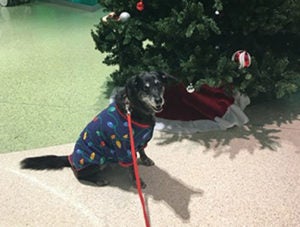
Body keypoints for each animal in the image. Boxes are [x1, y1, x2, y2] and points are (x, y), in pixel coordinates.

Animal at [20, 72, 170, 189]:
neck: (135, 108)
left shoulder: (140, 141)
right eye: (146, 88)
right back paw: (99, 180)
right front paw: (137, 182)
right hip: (97, 161)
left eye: (159, 85)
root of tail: (70, 157)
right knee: (79, 175)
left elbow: (142, 150)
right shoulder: (125, 149)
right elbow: (133, 168)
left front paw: (145, 160)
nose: (159, 100)